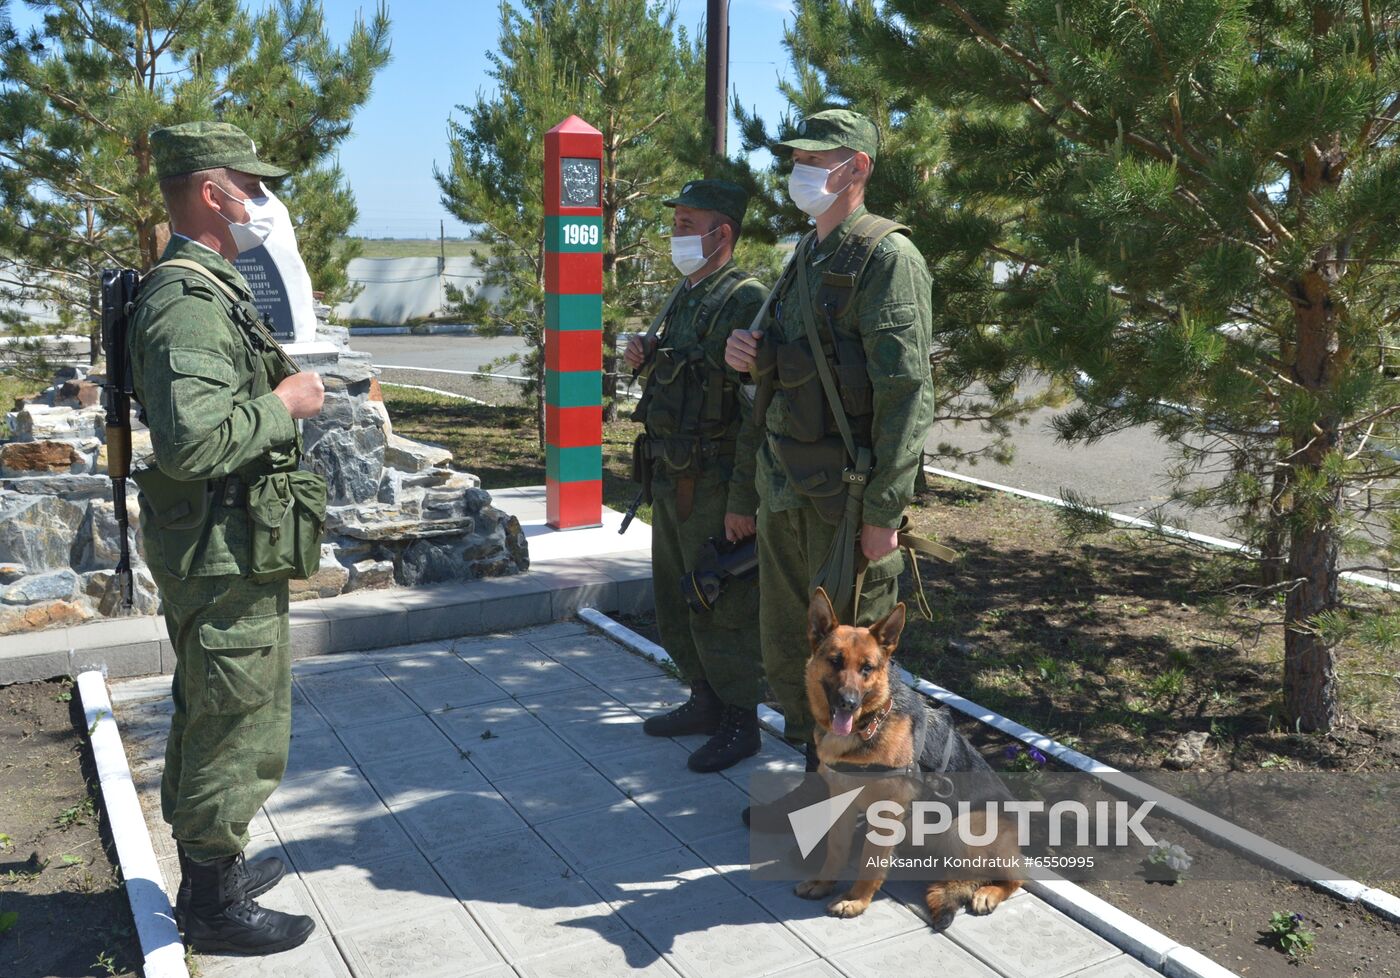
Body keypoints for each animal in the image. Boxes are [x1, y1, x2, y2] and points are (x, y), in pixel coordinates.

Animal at [795, 590, 1024, 923]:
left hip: (966, 826)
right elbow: (836, 848)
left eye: (867, 668)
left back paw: (987, 893)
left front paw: (856, 900)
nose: (848, 703)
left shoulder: (887, 813)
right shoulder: (841, 802)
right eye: (835, 661)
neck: (870, 724)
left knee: (1014, 877)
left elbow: (871, 861)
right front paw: (823, 883)